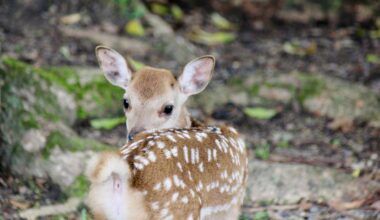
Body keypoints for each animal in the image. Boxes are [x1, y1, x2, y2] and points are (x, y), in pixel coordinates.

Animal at [84, 46, 248, 218]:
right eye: (126, 102)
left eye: (168, 108)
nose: (134, 134)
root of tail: (121, 177)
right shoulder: (232, 205)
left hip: (99, 210)